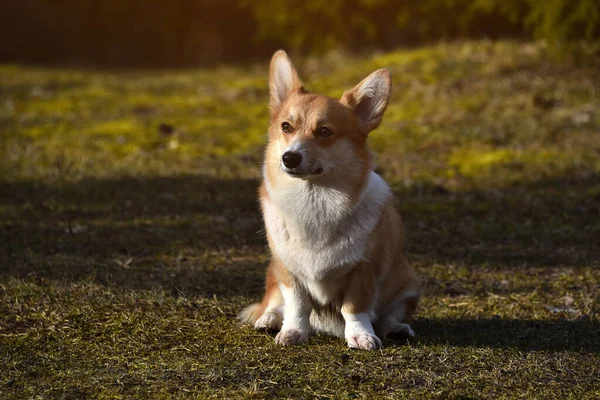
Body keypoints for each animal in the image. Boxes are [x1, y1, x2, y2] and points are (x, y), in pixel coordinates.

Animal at [237, 50, 420, 350]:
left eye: (324, 131)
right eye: (286, 126)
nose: (289, 157)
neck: (314, 201)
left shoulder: (364, 271)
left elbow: (354, 308)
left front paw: (360, 335)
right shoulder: (288, 272)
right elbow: (297, 305)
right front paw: (293, 332)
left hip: (408, 283)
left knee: (389, 315)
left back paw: (396, 328)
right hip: (273, 274)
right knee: (274, 302)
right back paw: (269, 319)